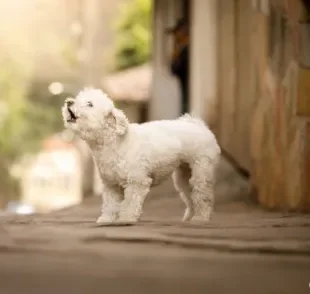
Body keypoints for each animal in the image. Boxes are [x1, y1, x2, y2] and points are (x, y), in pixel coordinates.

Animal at [61, 88, 220, 224]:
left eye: (90, 104)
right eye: (77, 98)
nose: (68, 102)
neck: (114, 142)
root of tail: (198, 125)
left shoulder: (137, 182)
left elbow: (130, 202)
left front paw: (126, 219)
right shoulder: (111, 185)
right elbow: (110, 204)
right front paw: (106, 219)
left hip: (201, 171)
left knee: (202, 195)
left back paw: (201, 218)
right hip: (184, 175)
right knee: (190, 195)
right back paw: (189, 217)